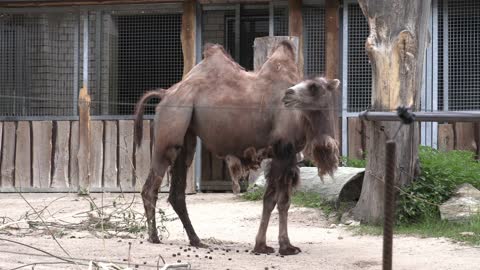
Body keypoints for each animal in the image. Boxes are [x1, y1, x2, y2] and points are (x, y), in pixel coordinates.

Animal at [133, 40, 340, 255]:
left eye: (314, 87)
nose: (288, 94)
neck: (301, 118)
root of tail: (165, 93)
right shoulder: (282, 150)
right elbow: (272, 200)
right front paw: (266, 246)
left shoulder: (289, 156)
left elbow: (284, 201)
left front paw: (285, 245)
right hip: (169, 129)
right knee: (151, 186)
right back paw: (154, 237)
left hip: (187, 137)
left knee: (177, 192)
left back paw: (196, 240)